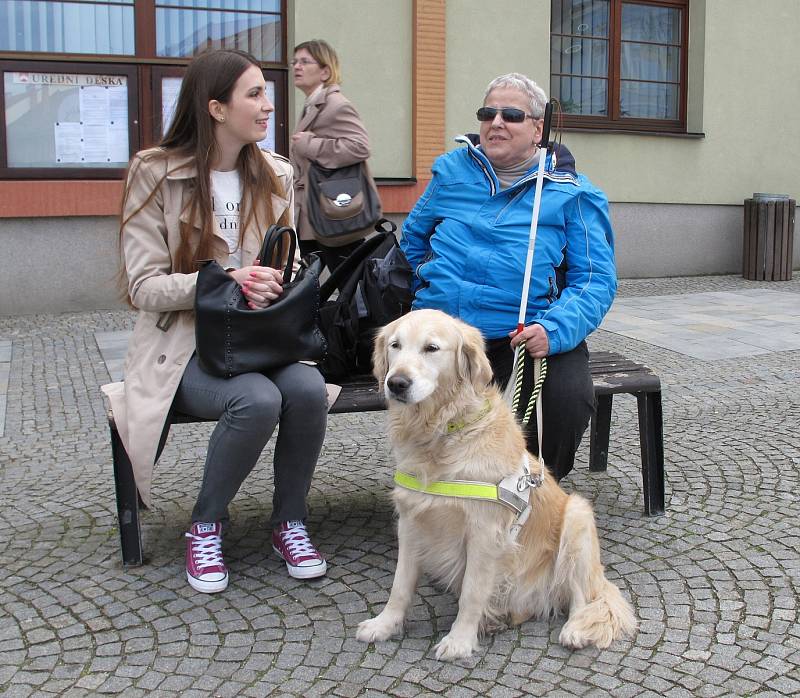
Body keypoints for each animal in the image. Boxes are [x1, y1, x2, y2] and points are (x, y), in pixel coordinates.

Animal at [356, 308, 636, 656]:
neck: (443, 430)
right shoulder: (410, 521)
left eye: (431, 348)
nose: (396, 383)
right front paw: (385, 624)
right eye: (395, 345)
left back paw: (574, 629)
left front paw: (459, 641)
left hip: (577, 516)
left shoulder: (485, 532)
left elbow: (472, 592)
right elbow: (400, 585)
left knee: (579, 595)